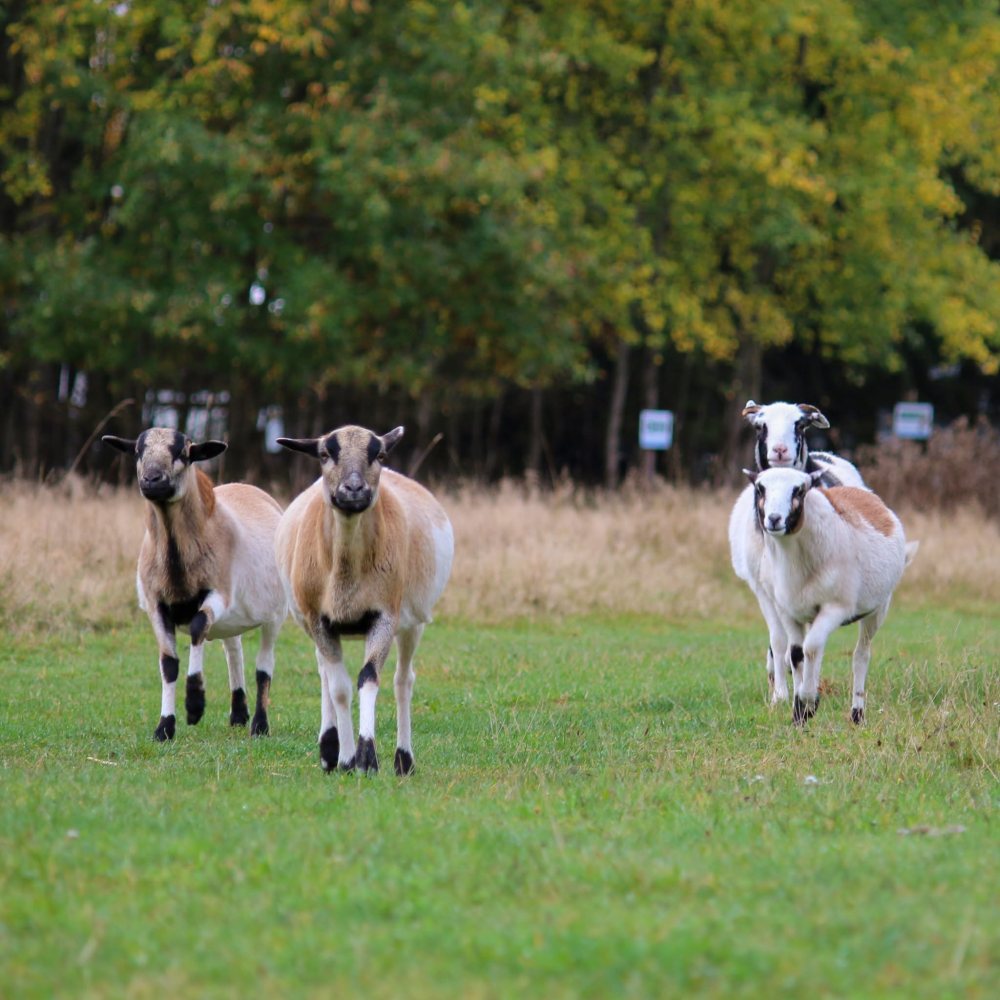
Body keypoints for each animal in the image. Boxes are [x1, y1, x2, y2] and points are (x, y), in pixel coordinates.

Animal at [103, 428, 287, 741]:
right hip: (232, 620)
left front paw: (195, 705)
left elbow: (197, 627)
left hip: (274, 614)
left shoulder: (219, 594)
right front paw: (165, 728)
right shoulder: (155, 605)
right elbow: (168, 663)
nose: (152, 480)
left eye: (182, 453)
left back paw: (260, 725)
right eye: (139, 451)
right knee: (234, 651)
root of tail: (249, 488)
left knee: (264, 665)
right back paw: (238, 714)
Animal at [274, 424, 454, 775]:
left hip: (413, 621)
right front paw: (345, 759)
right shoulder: (319, 621)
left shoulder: (383, 616)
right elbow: (339, 687)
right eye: (325, 454)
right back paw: (329, 750)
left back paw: (404, 760)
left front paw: (367, 758)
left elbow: (368, 678)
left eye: (379, 455)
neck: (346, 576)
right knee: (325, 674)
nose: (354, 489)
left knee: (403, 681)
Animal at [728, 400, 866, 702]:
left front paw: (803, 688)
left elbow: (804, 645)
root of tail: (824, 455)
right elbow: (779, 641)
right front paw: (779, 695)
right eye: (760, 426)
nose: (780, 450)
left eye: (800, 424)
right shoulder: (763, 588)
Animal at [744, 466, 917, 724]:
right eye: (759, 488)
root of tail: (864, 493)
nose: (774, 519)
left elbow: (812, 648)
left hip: (877, 608)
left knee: (860, 655)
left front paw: (808, 701)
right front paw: (799, 713)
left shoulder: (836, 607)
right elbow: (796, 654)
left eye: (799, 490)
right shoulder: (788, 611)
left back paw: (857, 714)